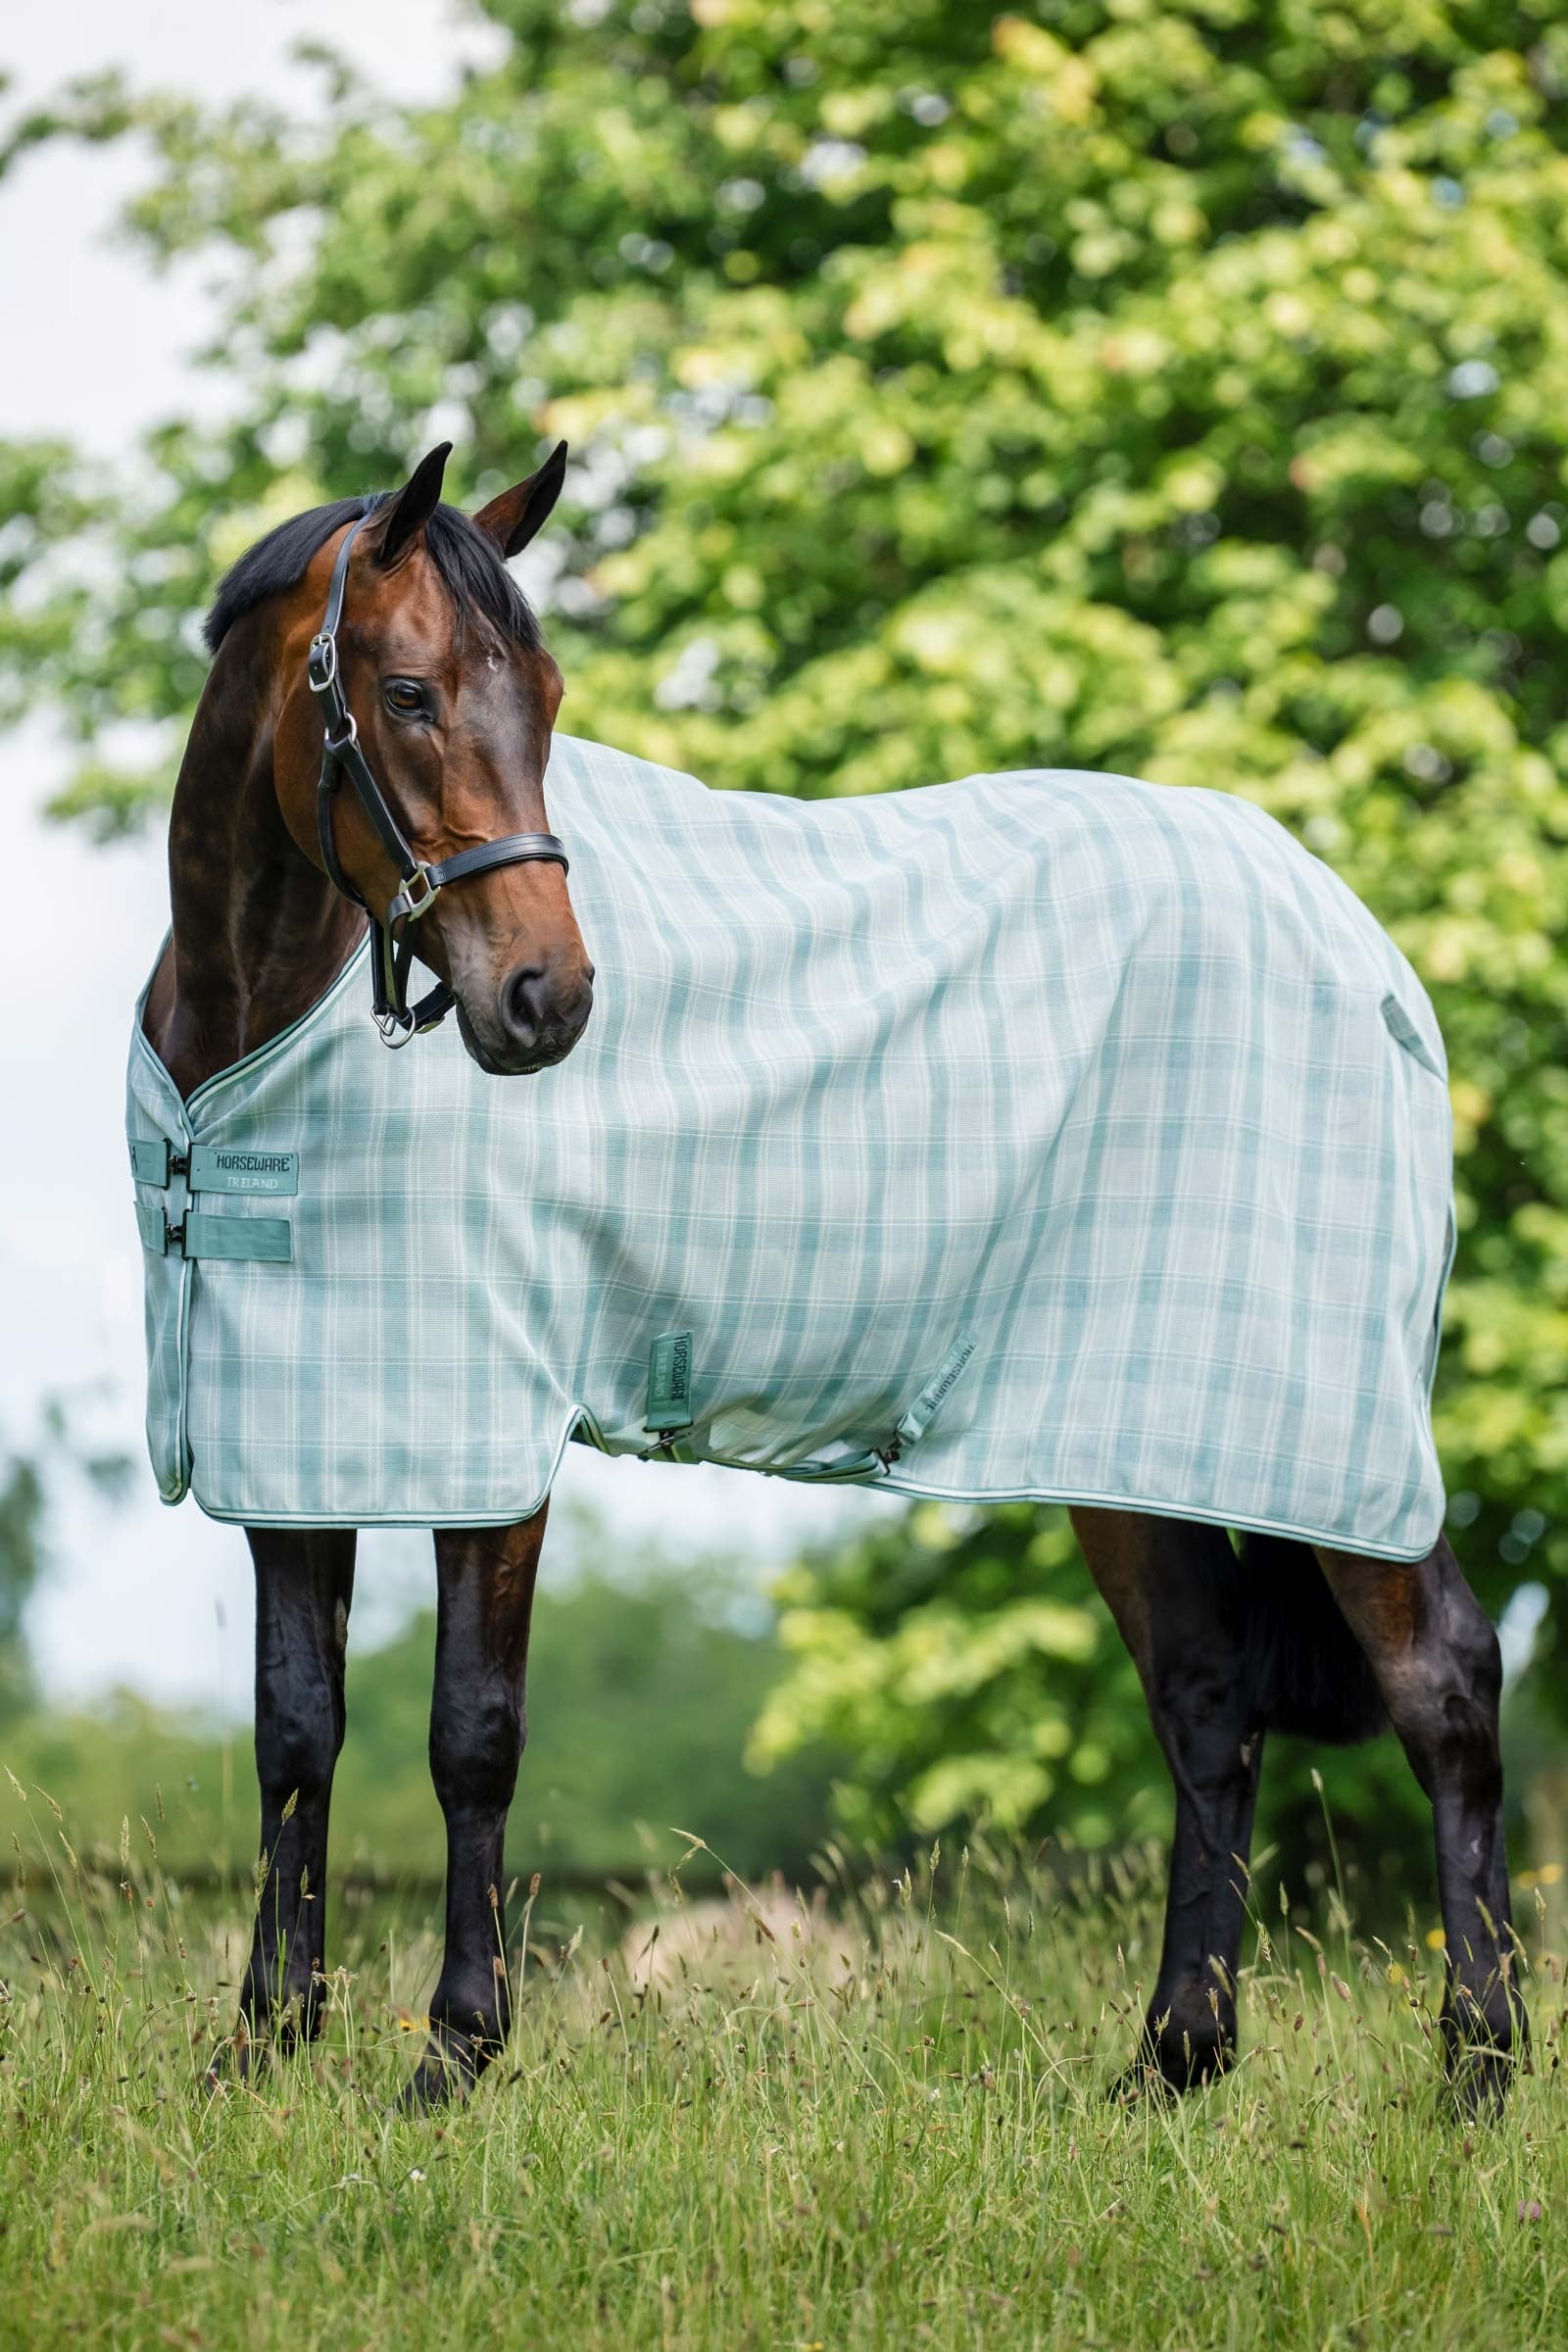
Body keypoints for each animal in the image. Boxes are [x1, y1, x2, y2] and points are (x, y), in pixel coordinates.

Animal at [137, 443, 1521, 2110]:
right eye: (406, 693)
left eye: (545, 694)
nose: (547, 1000)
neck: (256, 1029)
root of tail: (1362, 944)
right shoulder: (292, 1418)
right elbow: (295, 1731)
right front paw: (263, 2045)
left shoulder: (490, 1435)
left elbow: (472, 1731)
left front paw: (456, 2055)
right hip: (1131, 1435)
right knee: (1208, 1700)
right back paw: (1172, 2064)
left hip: (1328, 1414)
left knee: (1442, 1680)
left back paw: (1477, 2073)